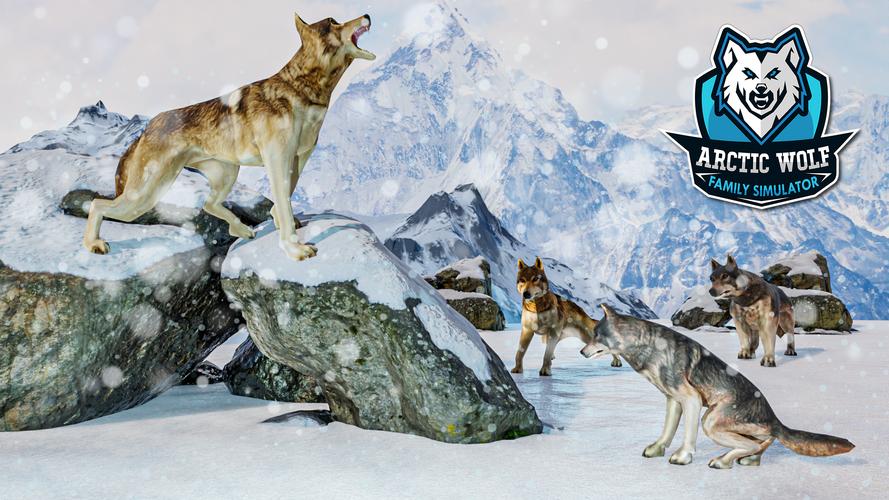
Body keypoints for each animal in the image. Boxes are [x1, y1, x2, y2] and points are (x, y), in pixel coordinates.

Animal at [82, 13, 375, 260]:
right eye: (333, 22)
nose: (368, 14)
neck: (302, 88)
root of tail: (148, 126)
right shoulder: (277, 158)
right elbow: (284, 201)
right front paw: (295, 249)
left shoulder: (299, 157)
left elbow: (286, 196)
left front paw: (277, 219)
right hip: (145, 194)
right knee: (97, 204)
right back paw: (93, 244)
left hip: (225, 174)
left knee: (208, 204)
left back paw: (242, 230)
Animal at [581, 305, 854, 468]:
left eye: (597, 336)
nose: (582, 352)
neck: (647, 345)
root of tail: (775, 419)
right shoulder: (673, 400)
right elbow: (667, 430)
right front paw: (657, 449)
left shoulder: (690, 400)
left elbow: (687, 436)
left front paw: (682, 457)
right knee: (765, 441)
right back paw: (744, 460)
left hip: (710, 421)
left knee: (756, 443)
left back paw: (724, 461)